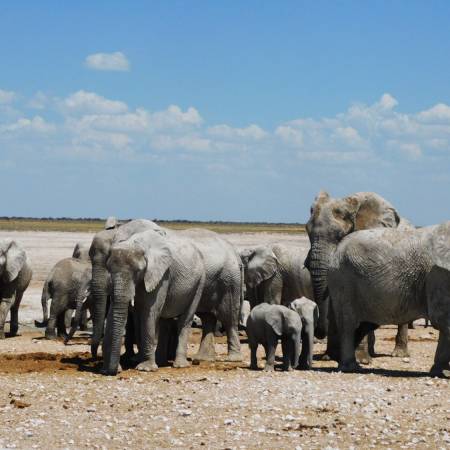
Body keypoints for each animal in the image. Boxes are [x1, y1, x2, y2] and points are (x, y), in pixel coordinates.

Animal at [304, 191, 414, 362]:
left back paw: (398, 354)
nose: (318, 333)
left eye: (339, 236)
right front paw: (329, 357)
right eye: (308, 232)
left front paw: (360, 359)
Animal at [326, 221, 450, 376]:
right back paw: (351, 367)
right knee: (348, 325)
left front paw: (441, 372)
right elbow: (443, 320)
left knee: (363, 326)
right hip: (343, 281)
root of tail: (337, 249)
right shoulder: (438, 275)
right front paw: (444, 374)